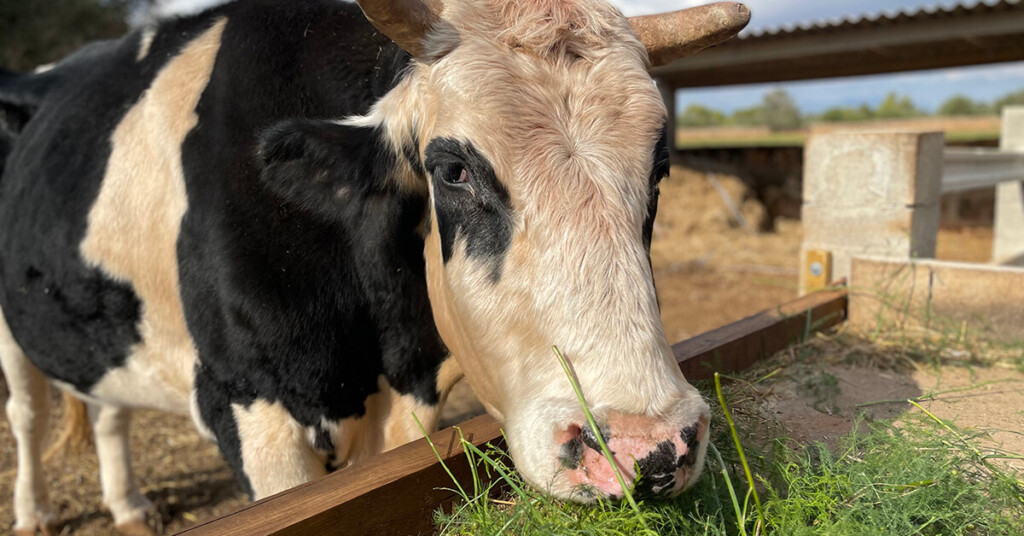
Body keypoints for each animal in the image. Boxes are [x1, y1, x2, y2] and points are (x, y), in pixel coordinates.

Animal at [0, 1, 753, 532]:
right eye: (452, 170)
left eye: (658, 168)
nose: (647, 446)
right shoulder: (247, 408)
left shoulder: (404, 405)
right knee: (27, 413)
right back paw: (34, 513)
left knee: (106, 410)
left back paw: (128, 508)